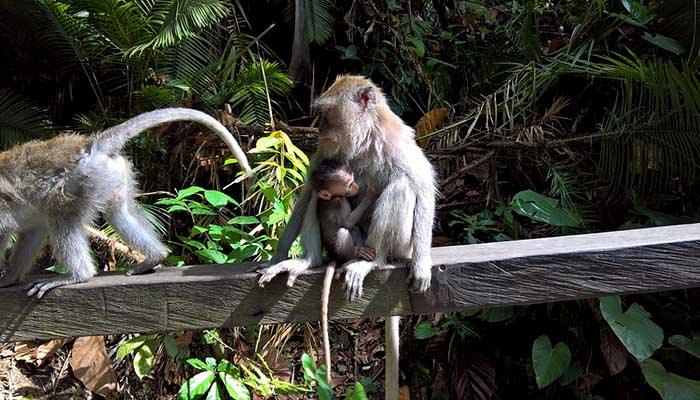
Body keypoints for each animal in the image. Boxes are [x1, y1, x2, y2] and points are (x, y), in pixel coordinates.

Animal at [0, 108, 252, 298]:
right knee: (118, 213)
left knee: (61, 216)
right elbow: (31, 230)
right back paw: (155, 256)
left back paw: (78, 275)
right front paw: (10, 277)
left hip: (81, 181)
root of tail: (90, 145)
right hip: (109, 175)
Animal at [307, 158, 378, 383]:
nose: (356, 187)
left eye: (353, 179)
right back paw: (354, 255)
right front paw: (369, 196)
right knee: (345, 230)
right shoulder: (338, 201)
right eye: (348, 184)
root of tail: (333, 255)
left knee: (352, 230)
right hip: (339, 248)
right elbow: (345, 223)